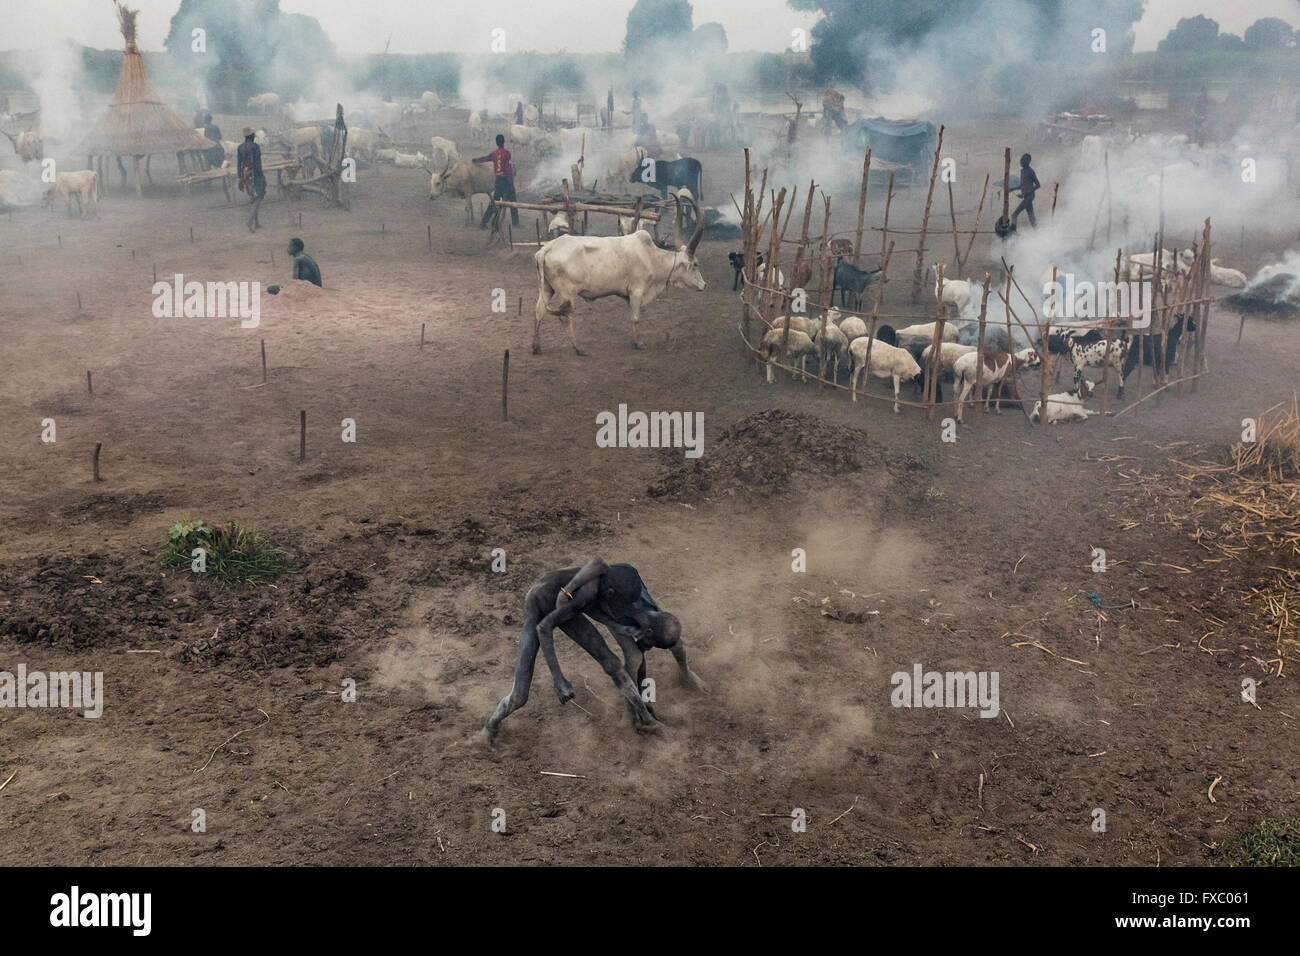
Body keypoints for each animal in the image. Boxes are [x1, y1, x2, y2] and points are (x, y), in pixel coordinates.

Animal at [533, 202, 707, 356]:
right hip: (567, 293)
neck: (650, 256)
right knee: (565, 317)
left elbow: (631, 316)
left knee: (539, 311)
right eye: (695, 264)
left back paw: (536, 347)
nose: (704, 285)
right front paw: (639, 343)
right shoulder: (637, 291)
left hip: (547, 289)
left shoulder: (628, 296)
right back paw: (578, 348)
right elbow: (635, 318)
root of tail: (547, 248)